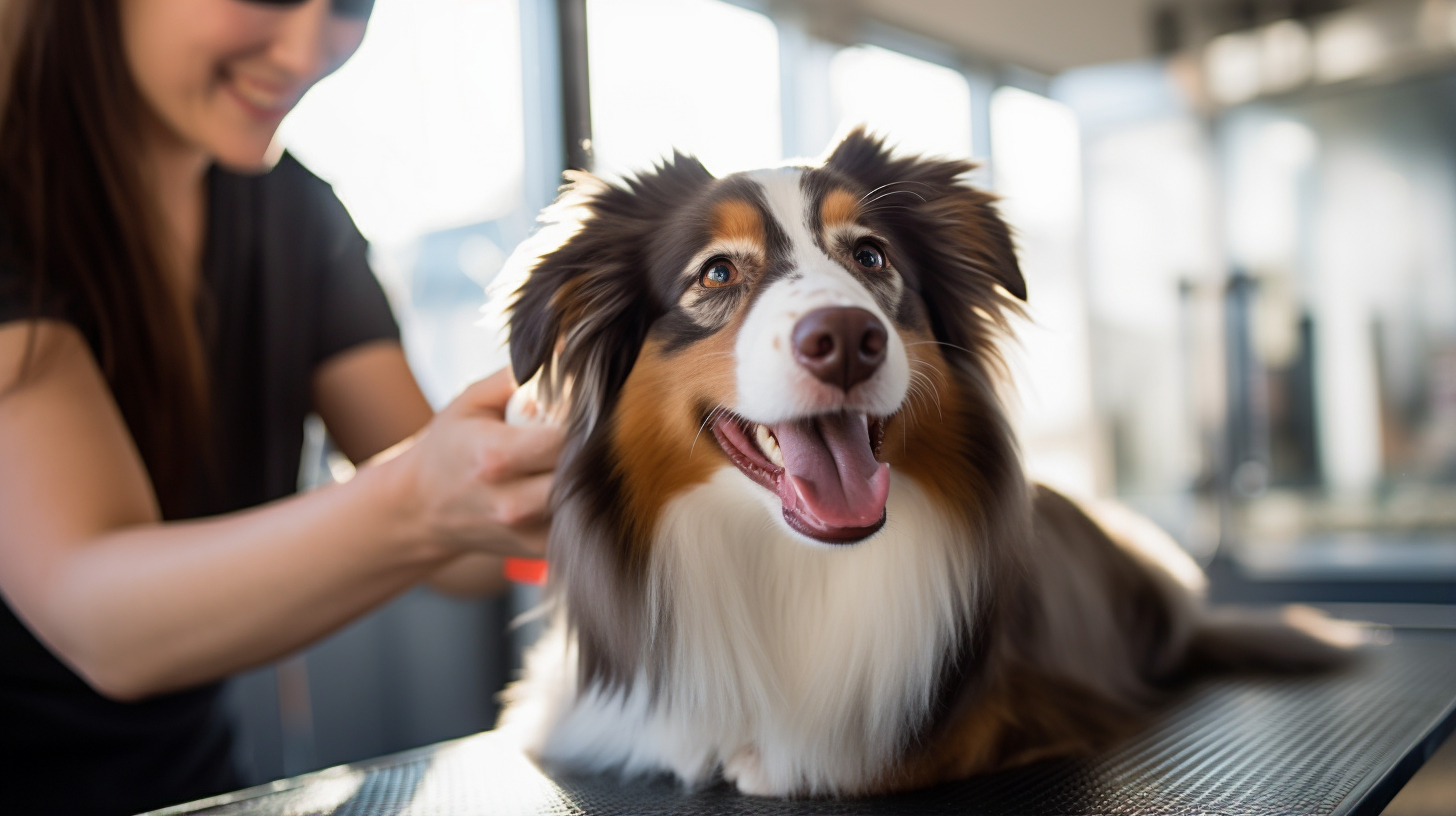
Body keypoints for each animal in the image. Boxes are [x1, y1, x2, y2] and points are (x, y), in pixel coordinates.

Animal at [495, 128, 1356, 798]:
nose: (846, 338)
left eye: (871, 256)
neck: (796, 566)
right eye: (716, 272)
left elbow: (885, 750)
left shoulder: (1041, 699)